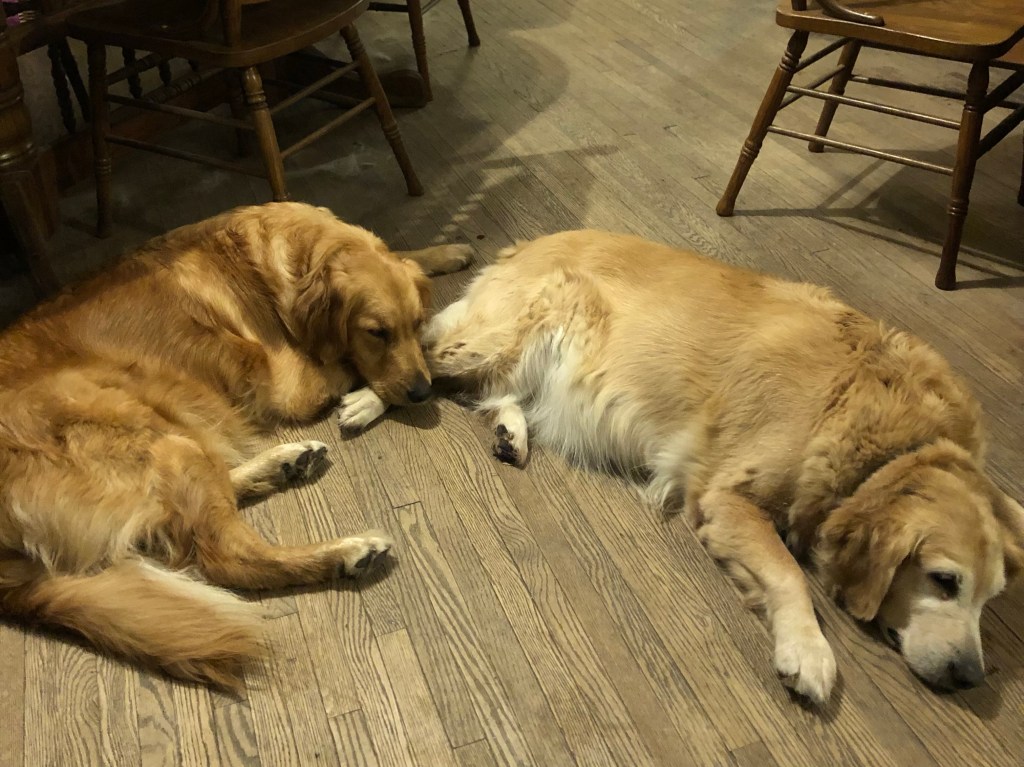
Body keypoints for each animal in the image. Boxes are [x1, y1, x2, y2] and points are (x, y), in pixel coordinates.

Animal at [0, 201, 471, 687]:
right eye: (376, 332)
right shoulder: (297, 384)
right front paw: (372, 397)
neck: (288, 263)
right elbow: (364, 369)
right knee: (227, 555)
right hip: (155, 438)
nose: (421, 393)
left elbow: (406, 260)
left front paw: (447, 251)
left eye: (415, 322)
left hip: (175, 440)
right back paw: (346, 552)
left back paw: (286, 462)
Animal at [339, 229, 1024, 705]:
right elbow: (788, 574)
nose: (970, 677)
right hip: (508, 332)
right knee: (422, 364)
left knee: (490, 392)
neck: (885, 433)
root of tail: (532, 241)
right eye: (943, 580)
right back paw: (369, 401)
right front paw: (808, 652)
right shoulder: (727, 497)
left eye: (992, 597)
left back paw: (511, 433)